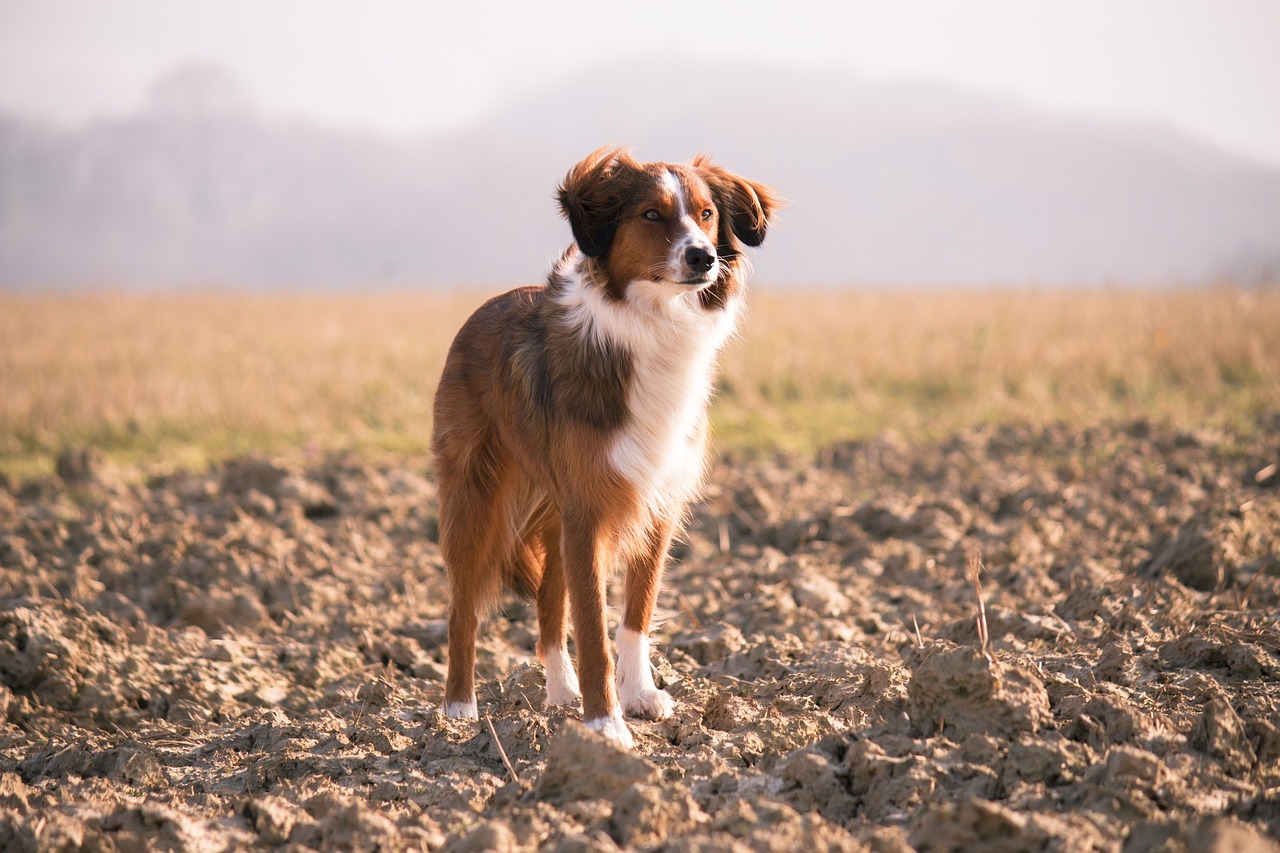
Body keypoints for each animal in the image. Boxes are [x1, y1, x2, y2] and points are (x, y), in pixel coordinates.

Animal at [430, 146, 773, 742]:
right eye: (651, 215)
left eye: (707, 214)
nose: (704, 258)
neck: (655, 322)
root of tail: (482, 310)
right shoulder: (588, 509)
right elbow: (592, 624)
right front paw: (605, 723)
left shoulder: (655, 502)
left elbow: (635, 616)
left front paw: (638, 696)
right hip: (475, 499)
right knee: (464, 608)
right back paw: (459, 710)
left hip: (554, 510)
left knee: (548, 603)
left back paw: (560, 693)